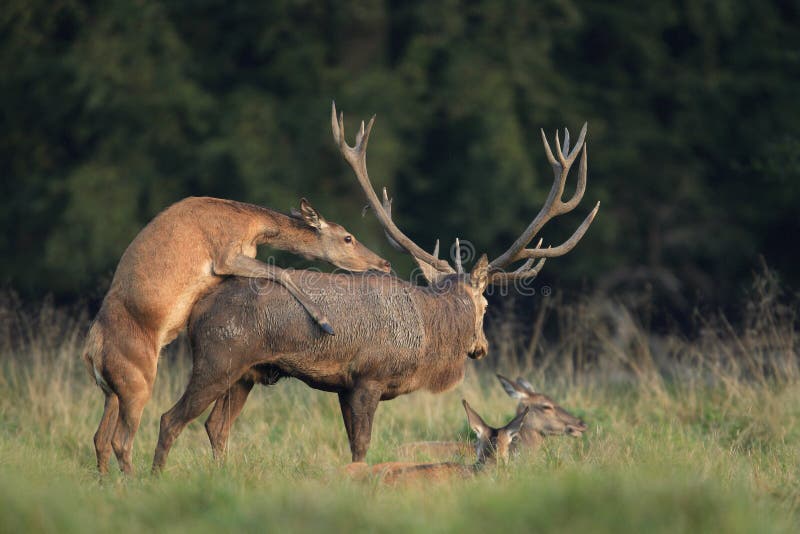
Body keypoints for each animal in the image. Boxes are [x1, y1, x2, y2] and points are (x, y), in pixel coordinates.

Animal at [83, 197, 390, 478]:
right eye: (348, 237)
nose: (384, 263)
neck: (250, 225)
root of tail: (90, 353)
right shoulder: (225, 254)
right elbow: (281, 271)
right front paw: (324, 321)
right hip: (138, 379)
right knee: (121, 440)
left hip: (113, 390)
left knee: (100, 438)